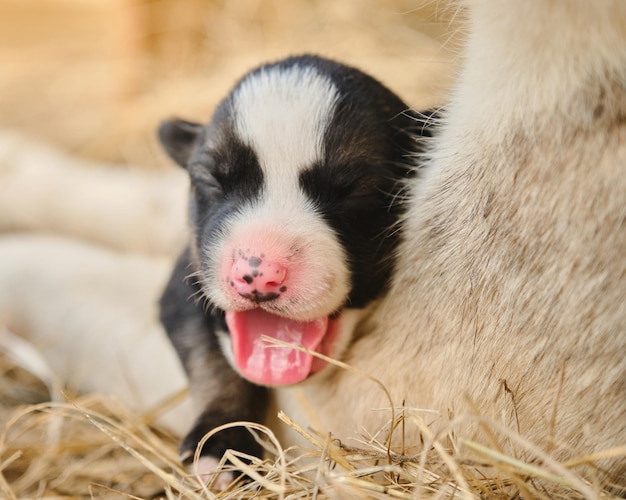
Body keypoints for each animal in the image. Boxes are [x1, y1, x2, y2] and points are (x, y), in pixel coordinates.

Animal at [158, 52, 436, 478]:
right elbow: (213, 360)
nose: (258, 274)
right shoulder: (186, 282)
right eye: (212, 180)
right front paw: (220, 443)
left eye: (353, 192)